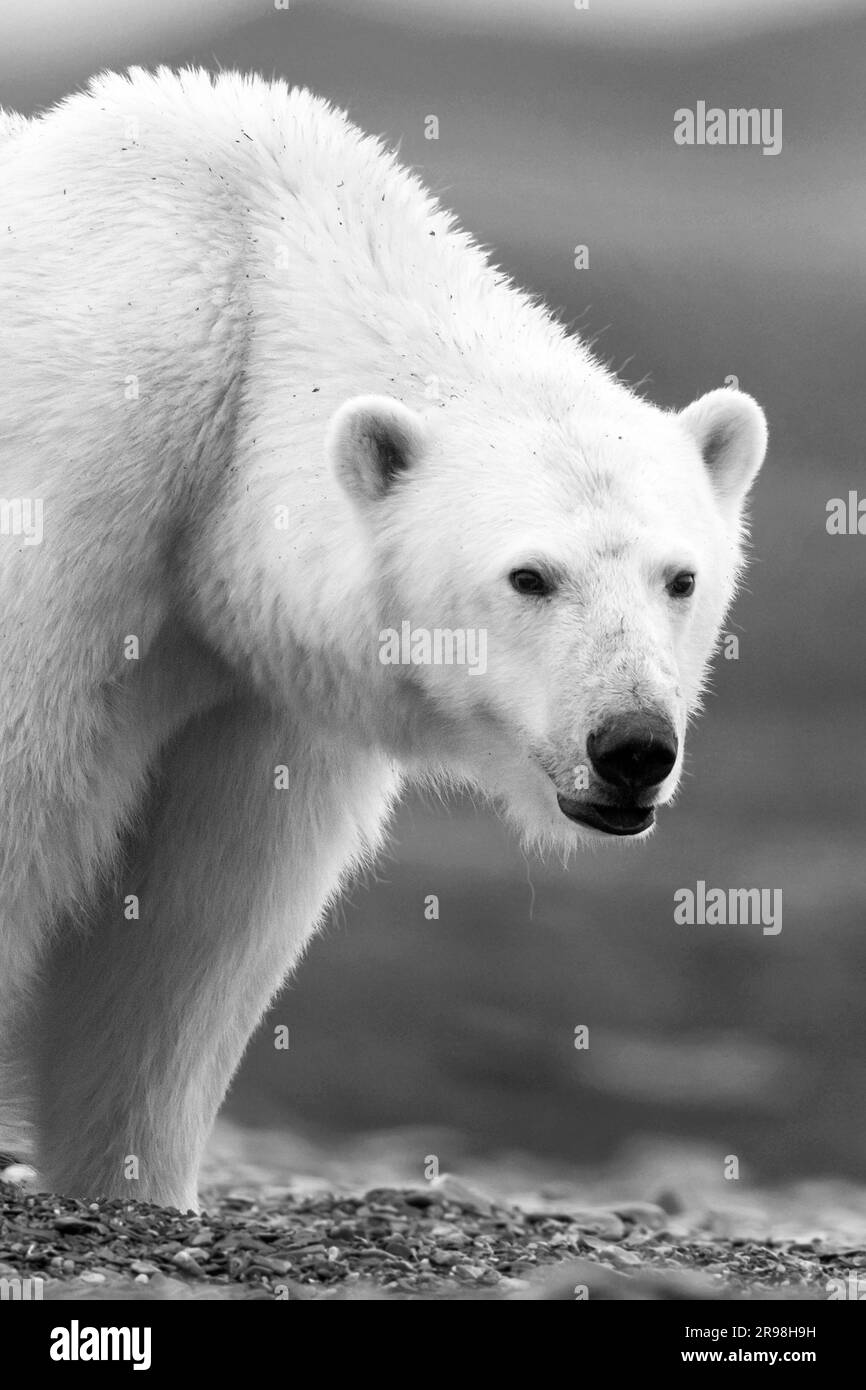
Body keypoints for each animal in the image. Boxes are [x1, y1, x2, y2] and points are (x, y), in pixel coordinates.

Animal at [0, 67, 767, 1211]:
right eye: (529, 575)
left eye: (680, 578)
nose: (631, 746)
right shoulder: (76, 513)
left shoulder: (255, 690)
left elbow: (193, 930)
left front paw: (138, 1180)